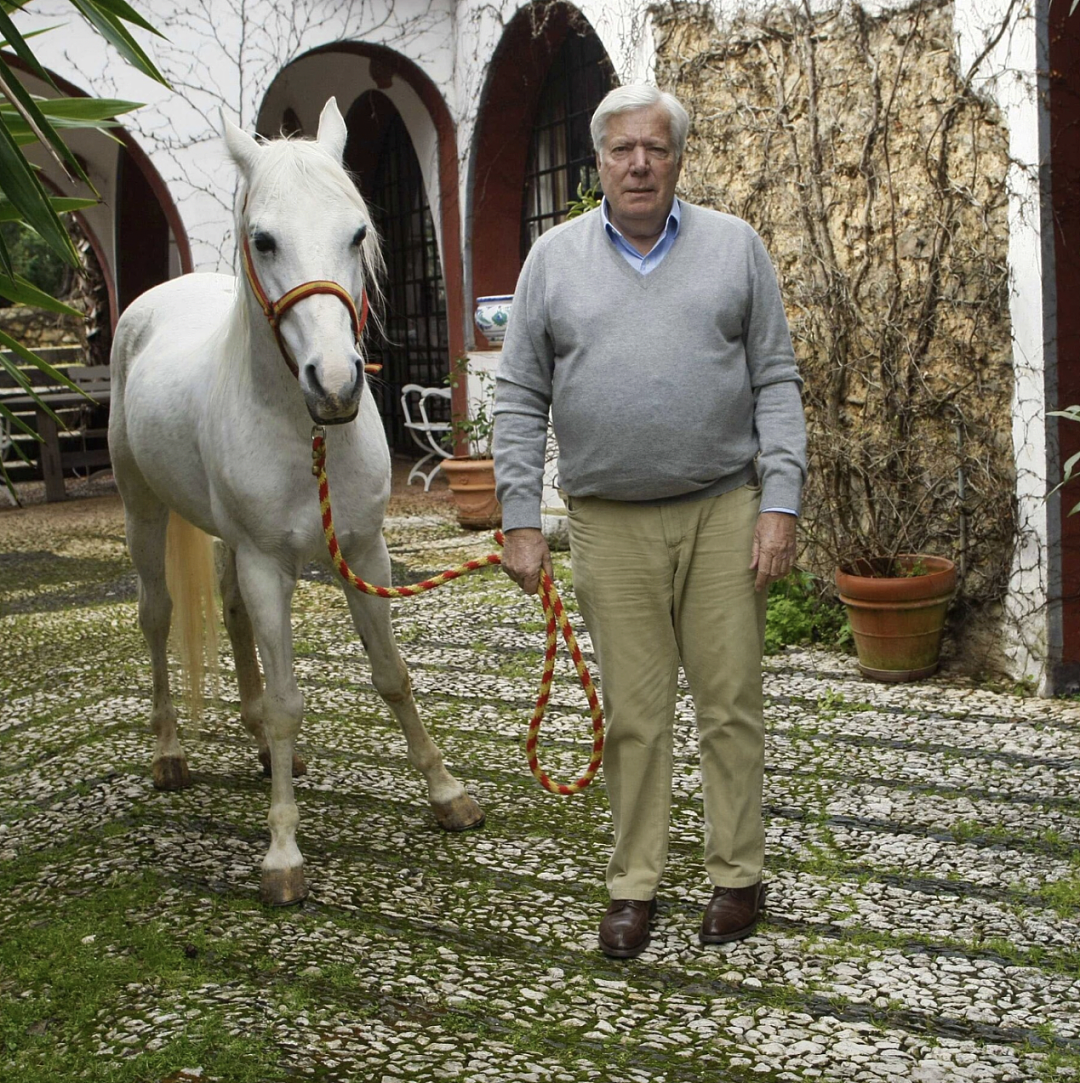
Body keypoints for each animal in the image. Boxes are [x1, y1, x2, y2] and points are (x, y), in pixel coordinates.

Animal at [108, 99, 485, 906]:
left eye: (359, 232)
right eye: (264, 239)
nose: (336, 384)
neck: (304, 429)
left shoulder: (365, 552)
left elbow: (392, 674)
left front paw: (446, 792)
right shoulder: (266, 563)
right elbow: (288, 702)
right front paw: (282, 852)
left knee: (229, 613)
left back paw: (255, 746)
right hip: (142, 510)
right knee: (157, 616)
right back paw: (169, 753)